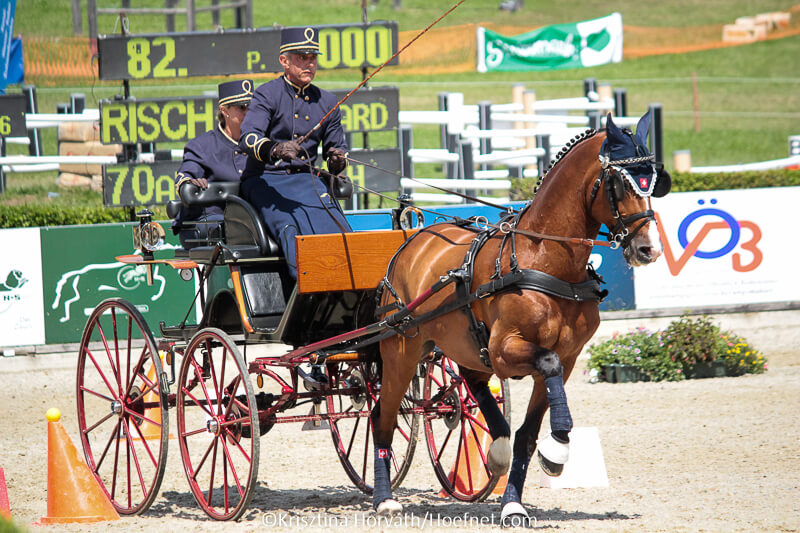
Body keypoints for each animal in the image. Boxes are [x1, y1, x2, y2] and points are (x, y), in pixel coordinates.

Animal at [370, 111, 671, 523]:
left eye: (652, 182)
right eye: (618, 183)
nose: (648, 249)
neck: (543, 260)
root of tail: (412, 239)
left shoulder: (568, 357)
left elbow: (528, 433)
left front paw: (517, 496)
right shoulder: (505, 348)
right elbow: (547, 363)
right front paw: (556, 448)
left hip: (464, 346)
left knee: (471, 384)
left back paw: (496, 449)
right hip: (401, 351)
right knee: (381, 417)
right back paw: (384, 497)